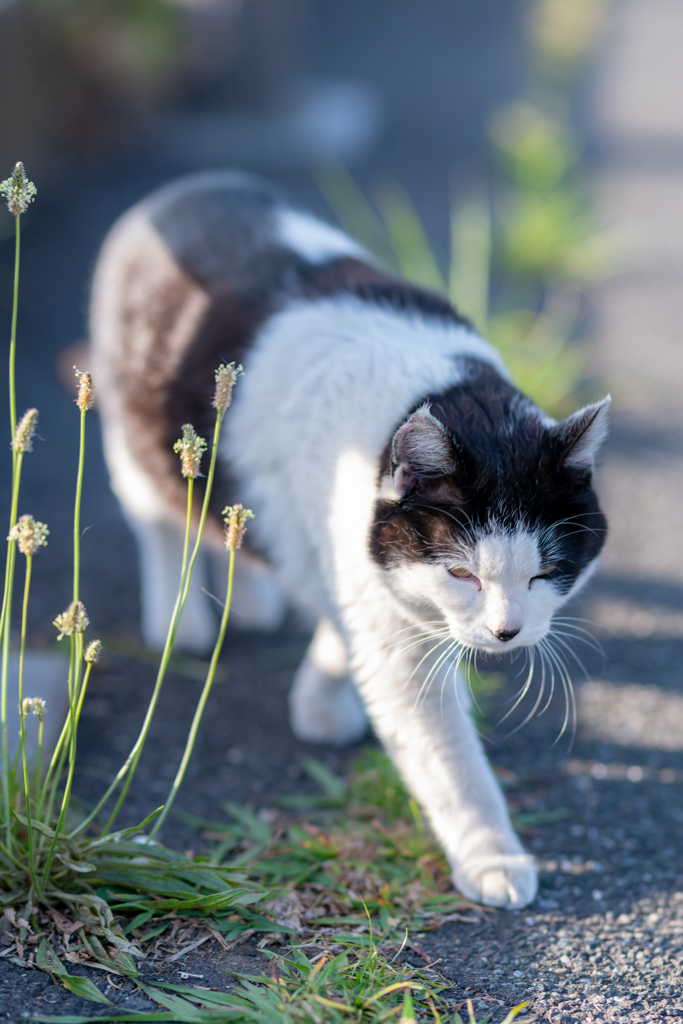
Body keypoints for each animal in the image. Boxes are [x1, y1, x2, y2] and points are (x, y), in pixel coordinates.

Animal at [90, 172, 610, 909]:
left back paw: (253, 596)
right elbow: (446, 757)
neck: (439, 388)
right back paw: (177, 619)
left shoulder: (363, 568)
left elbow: (350, 615)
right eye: (462, 575)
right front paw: (493, 858)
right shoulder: (397, 635)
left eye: (545, 573)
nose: (506, 633)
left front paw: (319, 697)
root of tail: (185, 187)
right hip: (137, 439)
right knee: (160, 520)